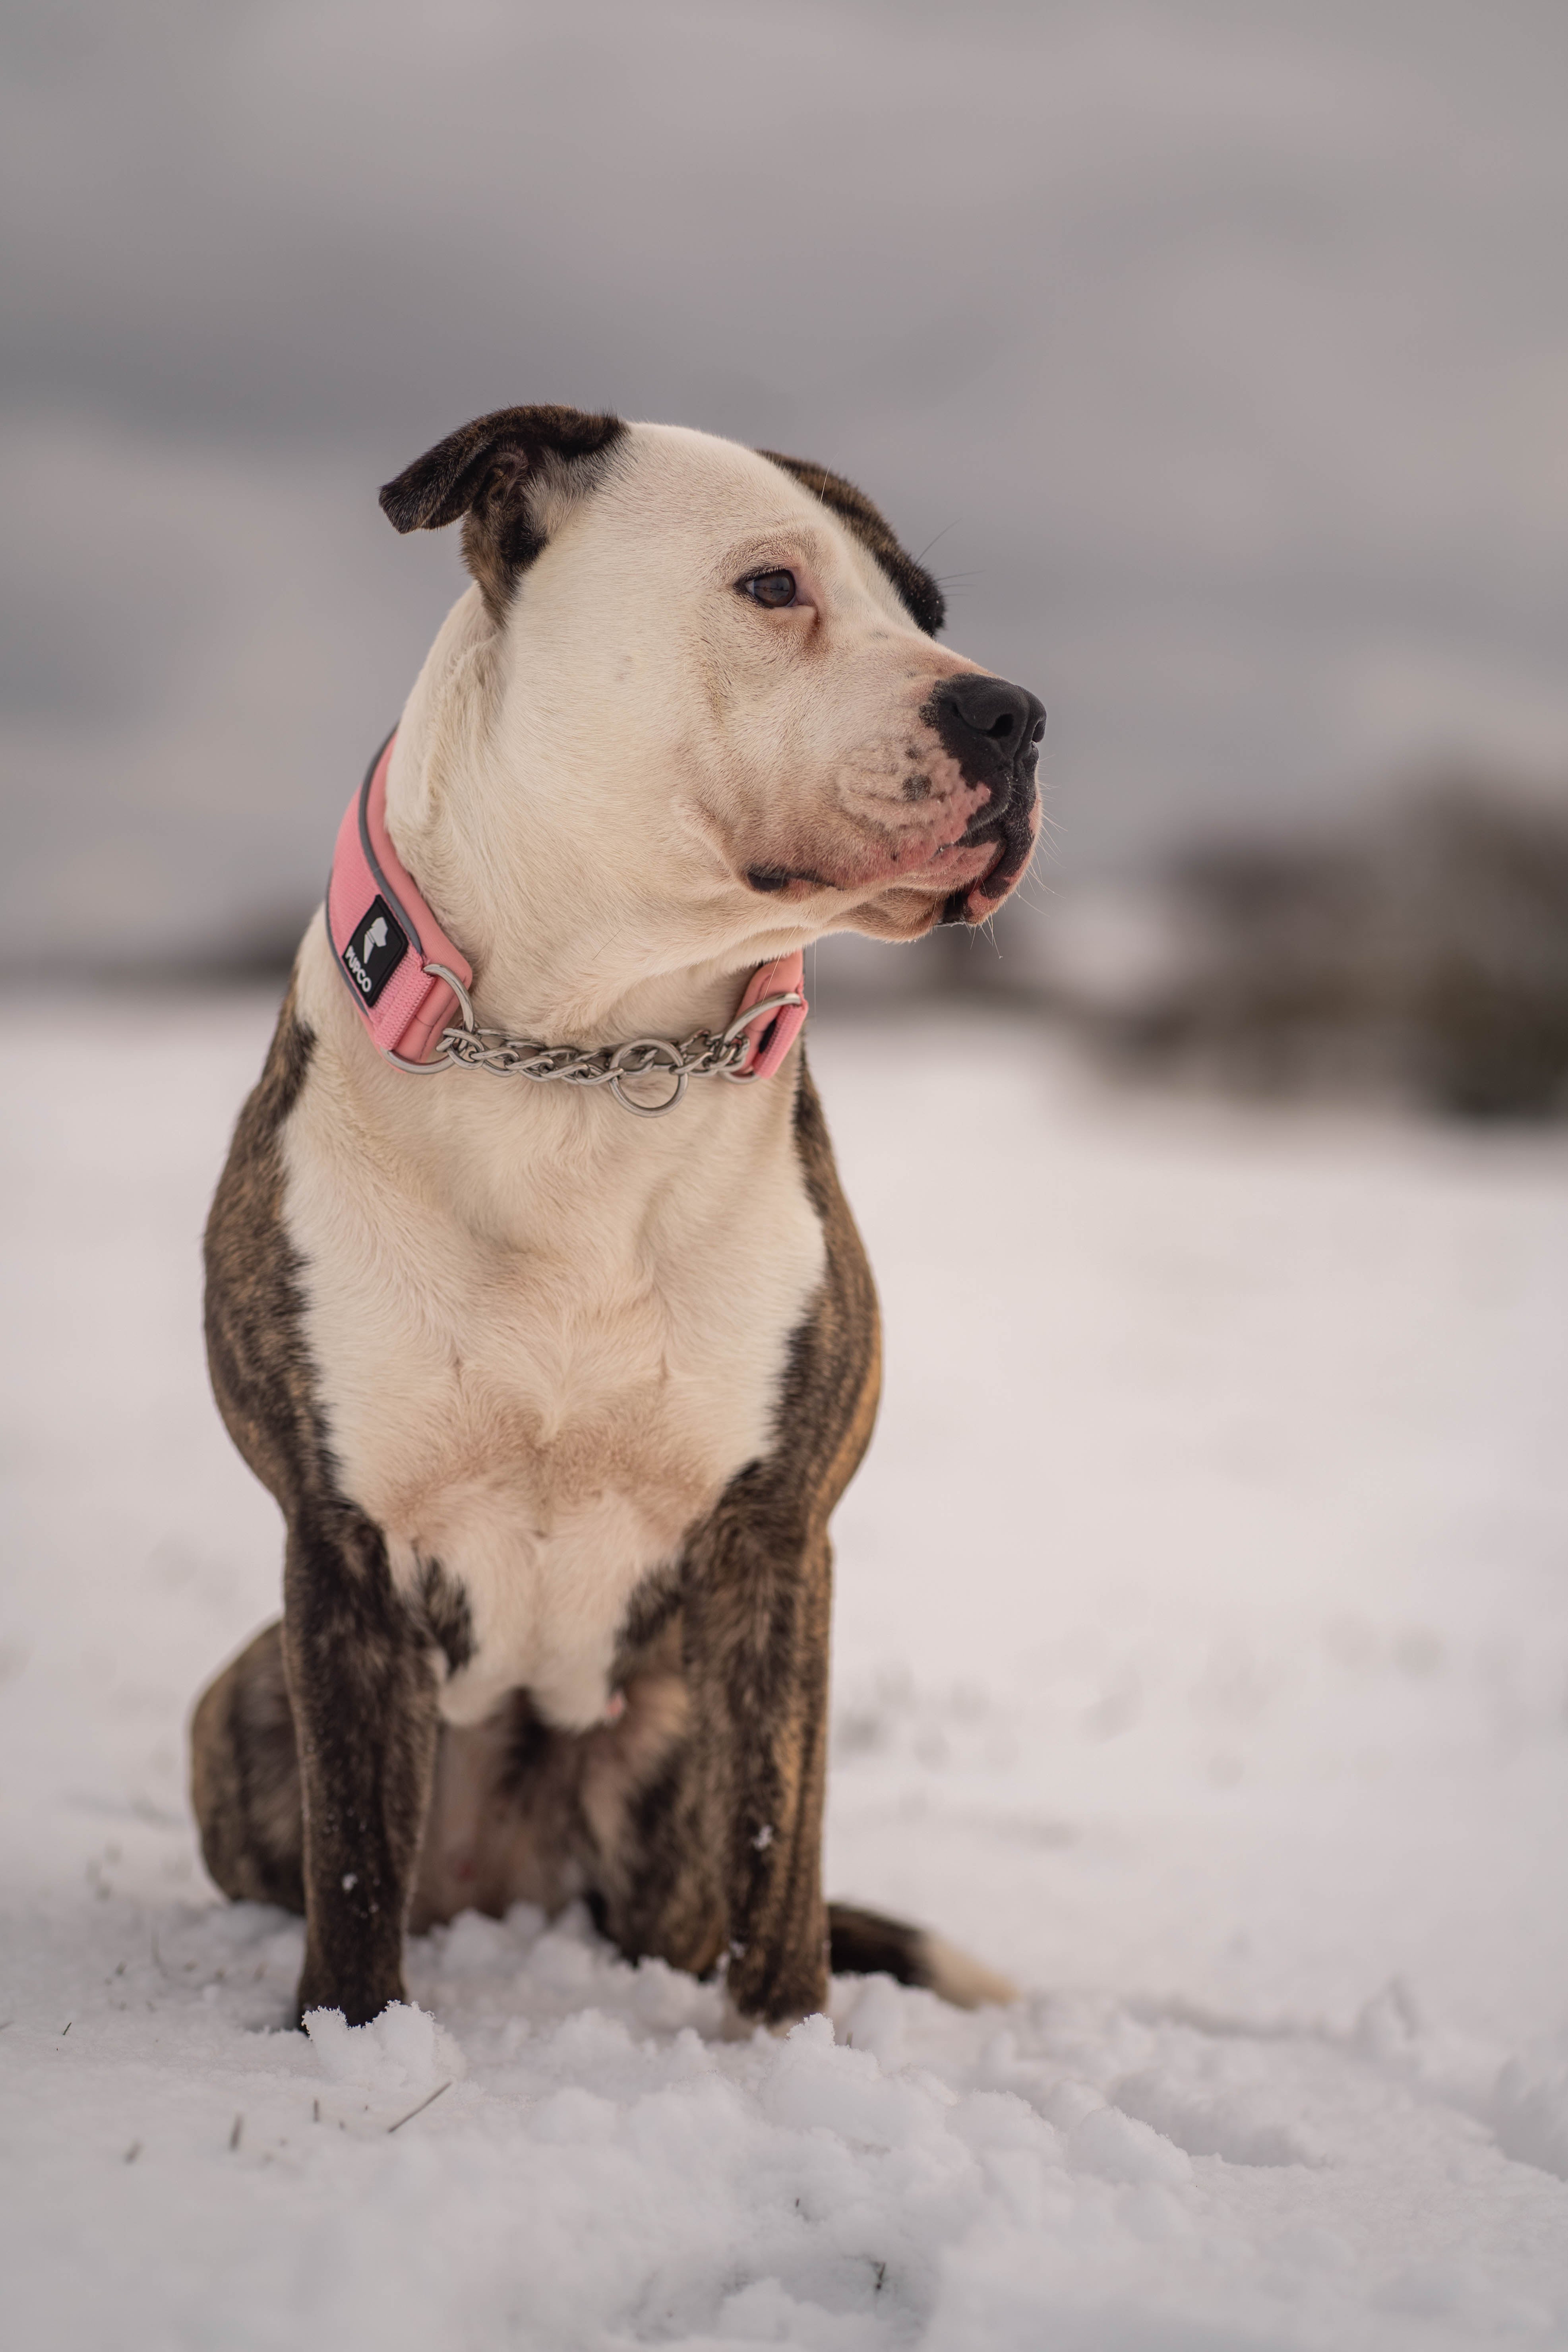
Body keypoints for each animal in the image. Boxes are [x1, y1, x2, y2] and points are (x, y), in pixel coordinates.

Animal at [193, 414, 1043, 2032]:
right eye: (770, 585)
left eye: (923, 608)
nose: (1013, 715)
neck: (588, 1052)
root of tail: (513, 1887)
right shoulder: (338, 1548)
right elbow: (353, 1862)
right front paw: (349, 2041)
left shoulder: (778, 1545)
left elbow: (783, 1849)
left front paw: (782, 2051)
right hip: (243, 1699)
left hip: (663, 1746)